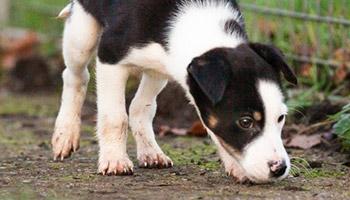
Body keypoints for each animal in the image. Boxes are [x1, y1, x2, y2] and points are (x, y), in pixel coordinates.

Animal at [53, 0, 296, 184]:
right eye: (245, 122)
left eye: (281, 118)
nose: (279, 169)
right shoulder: (110, 57)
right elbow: (114, 117)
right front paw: (114, 160)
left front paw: (237, 167)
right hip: (82, 34)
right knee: (75, 76)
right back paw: (65, 135)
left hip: (157, 69)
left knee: (140, 106)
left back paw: (151, 153)